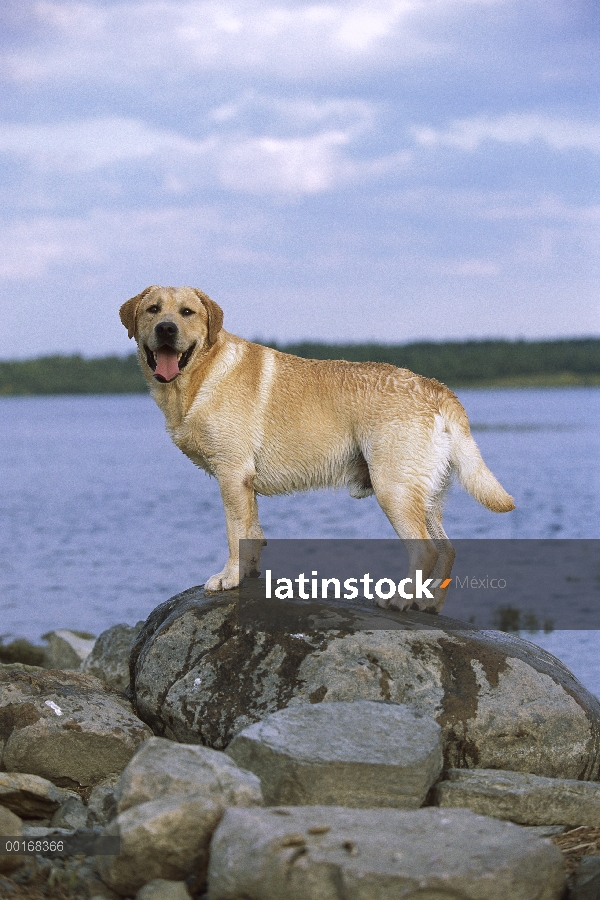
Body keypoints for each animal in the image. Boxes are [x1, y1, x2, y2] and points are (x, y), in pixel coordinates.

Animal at [119, 286, 512, 612]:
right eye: (153, 309)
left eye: (186, 312)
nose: (166, 329)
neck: (199, 377)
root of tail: (434, 387)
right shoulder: (244, 483)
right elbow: (253, 532)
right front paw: (247, 575)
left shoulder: (232, 474)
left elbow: (235, 534)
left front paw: (228, 579)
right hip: (425, 495)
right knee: (448, 549)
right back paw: (430, 605)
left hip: (394, 489)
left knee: (426, 551)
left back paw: (400, 601)